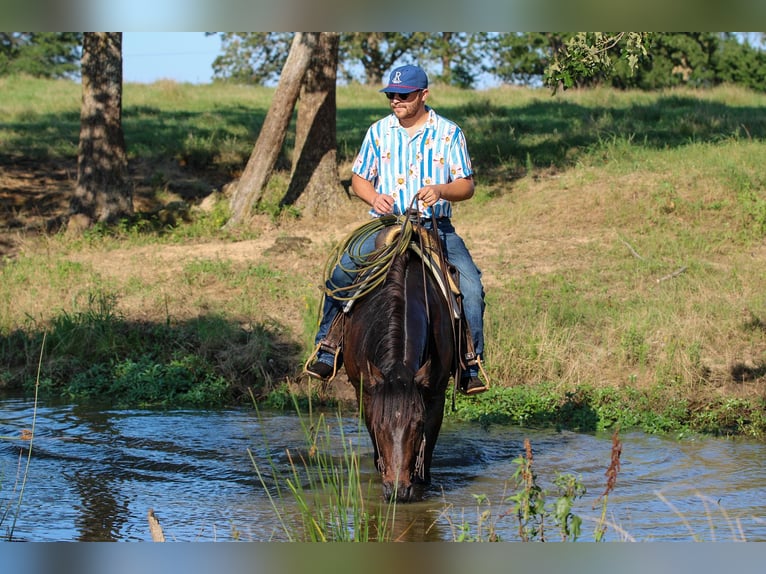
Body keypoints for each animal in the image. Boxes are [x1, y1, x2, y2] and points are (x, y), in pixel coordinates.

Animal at [342, 225, 456, 504]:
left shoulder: (435, 395)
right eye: (380, 425)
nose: (398, 491)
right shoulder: (365, 392)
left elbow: (427, 454)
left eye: (417, 424)